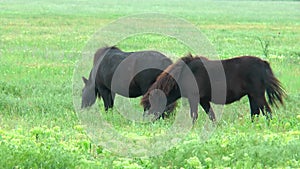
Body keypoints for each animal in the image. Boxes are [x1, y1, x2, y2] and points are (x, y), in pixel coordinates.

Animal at [141, 54, 286, 123]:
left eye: (149, 105)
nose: (146, 123)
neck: (185, 73)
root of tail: (263, 63)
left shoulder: (194, 98)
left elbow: (194, 116)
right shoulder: (203, 100)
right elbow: (212, 116)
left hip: (257, 95)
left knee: (267, 112)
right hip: (252, 96)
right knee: (255, 113)